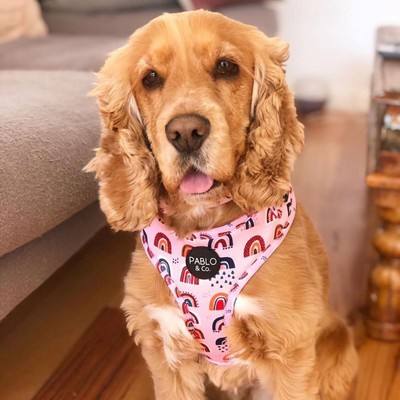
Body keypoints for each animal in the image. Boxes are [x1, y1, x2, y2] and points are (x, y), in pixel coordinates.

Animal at [86, 10, 358, 400]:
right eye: (150, 78)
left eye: (226, 66)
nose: (186, 132)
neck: (204, 229)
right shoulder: (165, 347)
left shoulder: (288, 348)